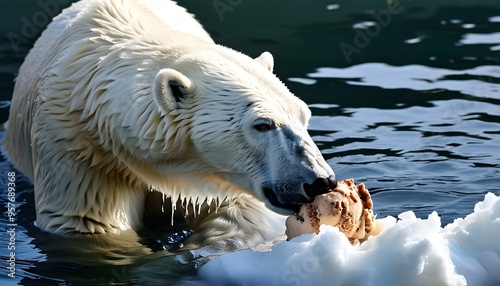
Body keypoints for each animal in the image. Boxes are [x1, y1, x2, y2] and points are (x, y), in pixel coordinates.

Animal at [2, 0, 336, 249]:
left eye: (304, 117)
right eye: (263, 125)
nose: (321, 180)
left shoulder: (215, 178)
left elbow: (240, 213)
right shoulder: (80, 149)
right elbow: (89, 224)